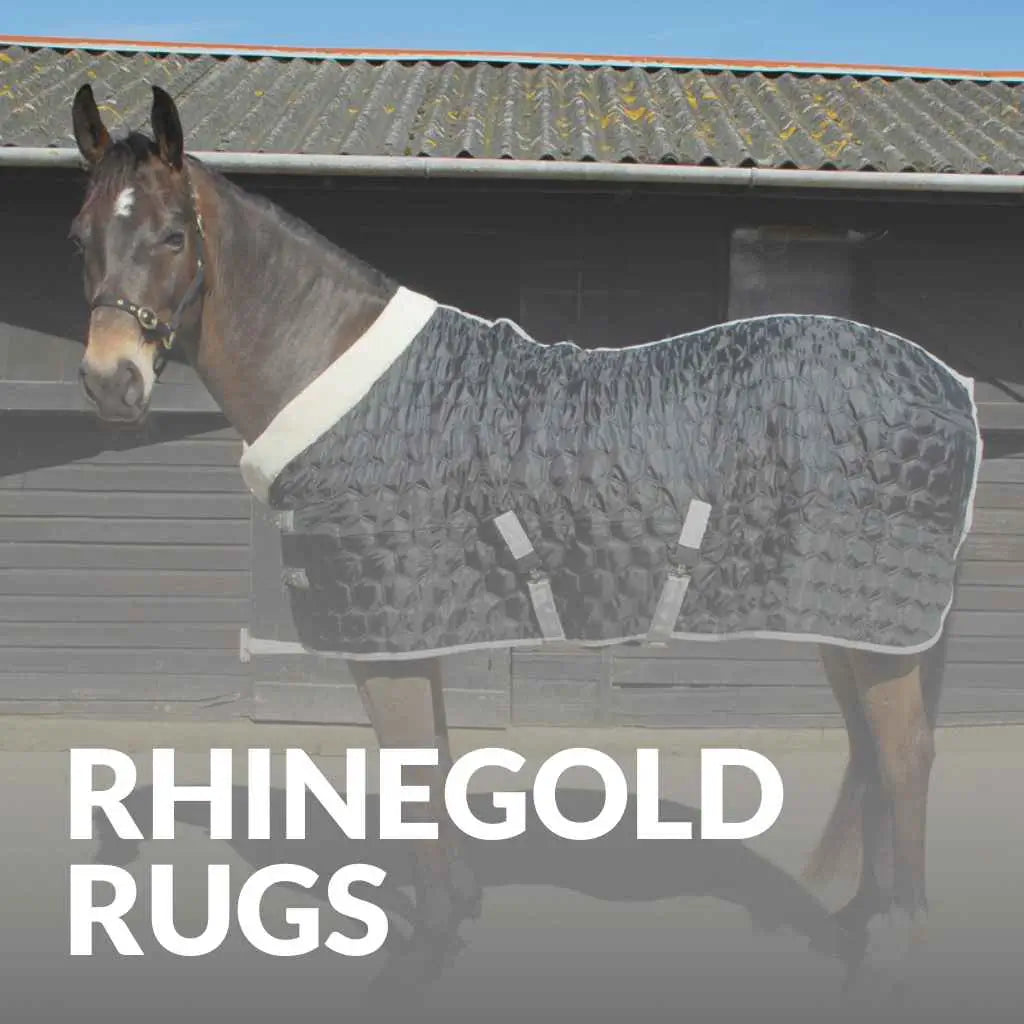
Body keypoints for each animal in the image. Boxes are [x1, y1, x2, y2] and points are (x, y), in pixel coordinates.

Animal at [67, 83, 975, 996]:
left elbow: (411, 773)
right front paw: (455, 913)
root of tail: (950, 384)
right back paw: (858, 922)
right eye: (80, 235)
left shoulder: (385, 639)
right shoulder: (412, 633)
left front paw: (421, 953)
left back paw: (896, 946)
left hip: (876, 628)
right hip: (851, 623)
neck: (344, 378)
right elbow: (431, 765)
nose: (112, 383)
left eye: (172, 235)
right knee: (872, 754)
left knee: (905, 757)